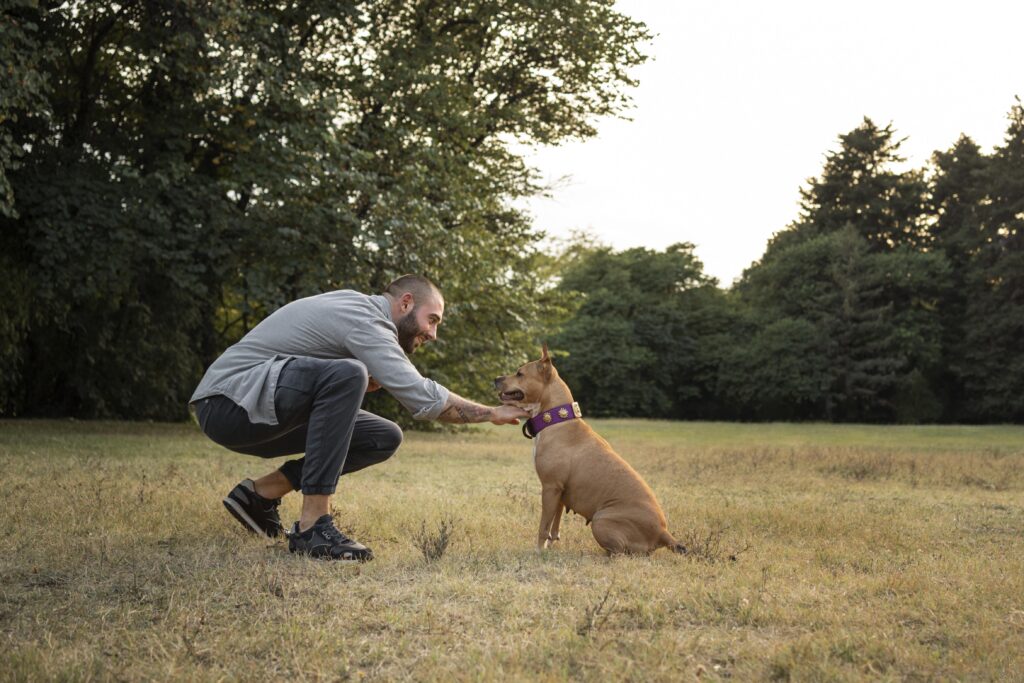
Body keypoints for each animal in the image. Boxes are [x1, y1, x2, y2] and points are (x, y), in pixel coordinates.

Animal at [491, 348, 684, 557]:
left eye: (520, 373)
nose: (496, 378)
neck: (556, 419)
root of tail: (663, 533)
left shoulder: (550, 487)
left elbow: (543, 526)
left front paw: (539, 551)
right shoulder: (559, 492)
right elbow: (554, 525)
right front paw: (550, 546)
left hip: (601, 520)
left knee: (619, 552)